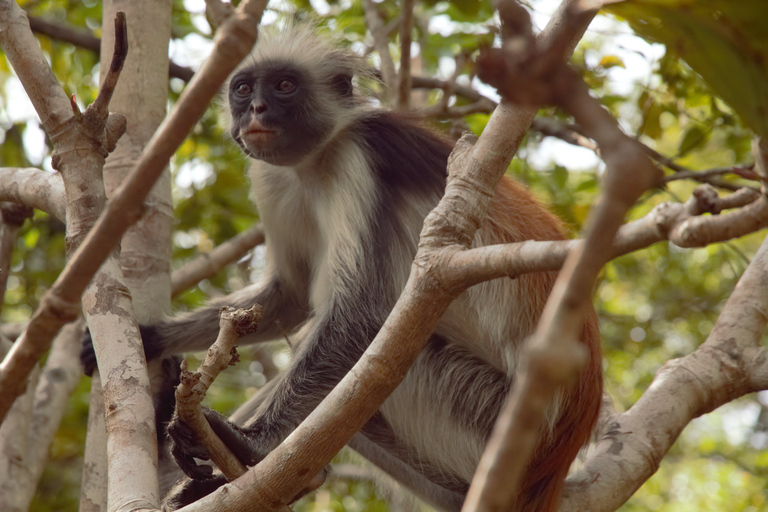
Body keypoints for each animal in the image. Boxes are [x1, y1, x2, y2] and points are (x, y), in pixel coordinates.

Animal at [82, 23, 600, 512]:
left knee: (392, 352)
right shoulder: (271, 176)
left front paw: (252, 442)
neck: (316, 160)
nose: (257, 111)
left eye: (285, 85)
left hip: (485, 420)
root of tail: (549, 470)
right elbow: (289, 295)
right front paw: (150, 336)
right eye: (243, 89)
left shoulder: (363, 156)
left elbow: (361, 315)